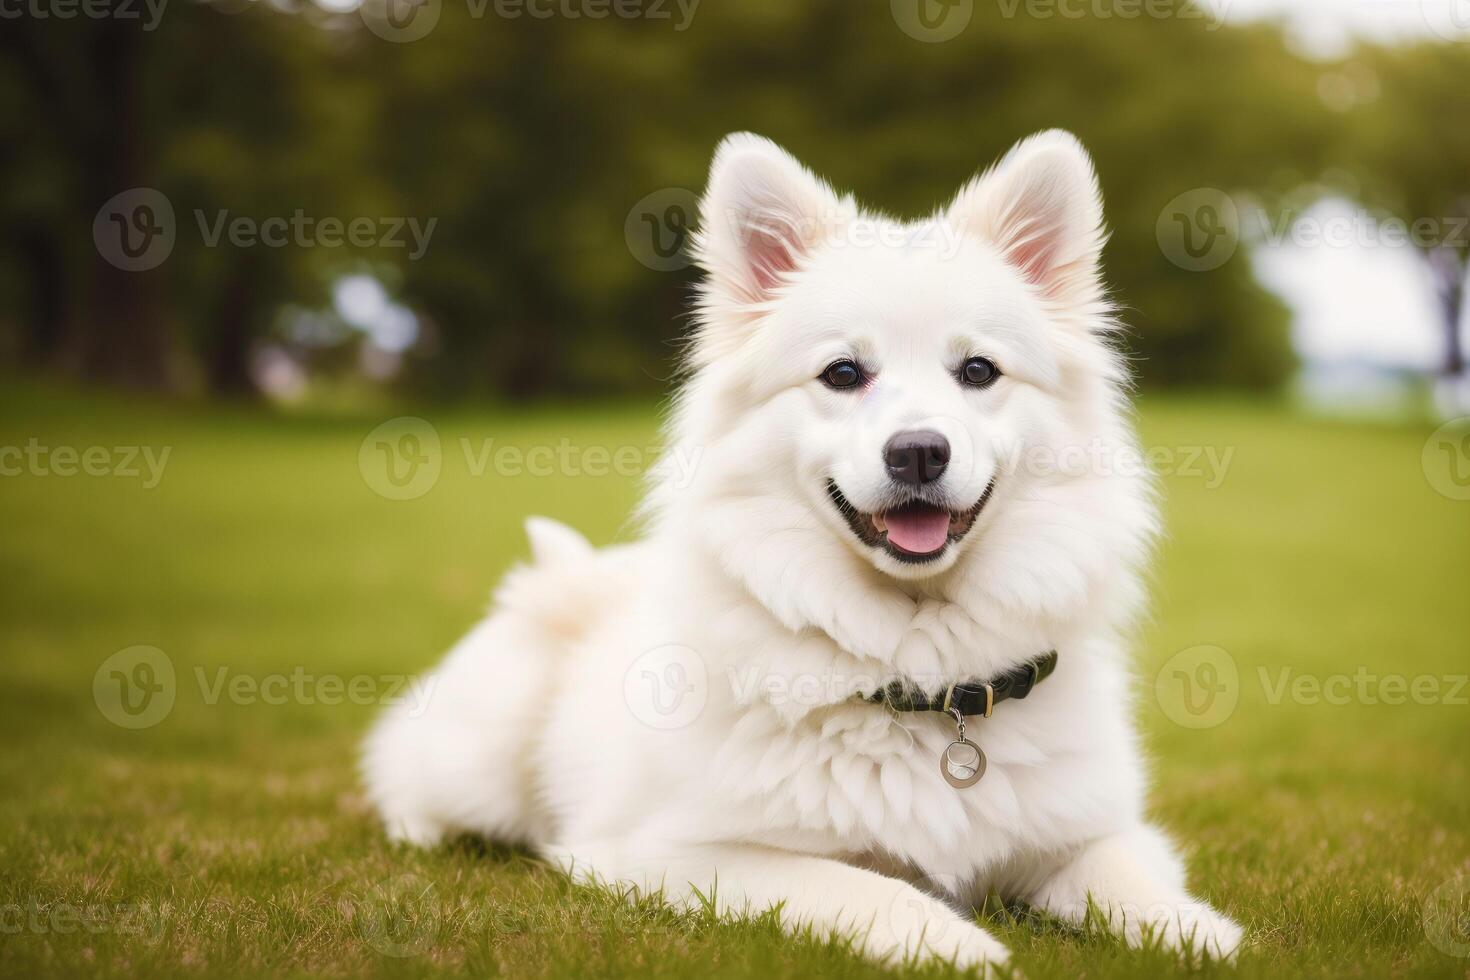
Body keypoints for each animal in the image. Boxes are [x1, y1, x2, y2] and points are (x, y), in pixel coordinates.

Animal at [364, 132, 1240, 975]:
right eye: (843, 373)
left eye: (978, 370)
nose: (918, 452)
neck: (921, 682)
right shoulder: (670, 854)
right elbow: (862, 886)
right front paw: (955, 944)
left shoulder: (1088, 832)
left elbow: (1129, 879)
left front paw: (1201, 934)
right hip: (478, 756)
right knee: (402, 771)